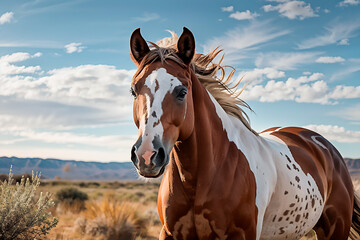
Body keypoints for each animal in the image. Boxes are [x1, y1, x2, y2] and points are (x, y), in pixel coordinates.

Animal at [128, 27, 358, 239]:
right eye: (133, 91)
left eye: (182, 92)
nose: (147, 156)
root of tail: (323, 145)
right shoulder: (169, 233)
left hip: (335, 229)